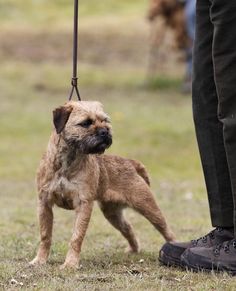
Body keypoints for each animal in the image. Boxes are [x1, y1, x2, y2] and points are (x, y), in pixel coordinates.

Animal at [30, 101, 175, 270]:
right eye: (86, 123)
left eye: (105, 121)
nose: (105, 131)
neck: (67, 162)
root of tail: (130, 162)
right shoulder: (44, 203)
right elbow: (45, 235)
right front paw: (40, 260)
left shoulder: (83, 204)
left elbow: (76, 237)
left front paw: (70, 264)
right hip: (112, 214)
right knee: (128, 228)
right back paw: (133, 250)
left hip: (148, 207)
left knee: (166, 230)